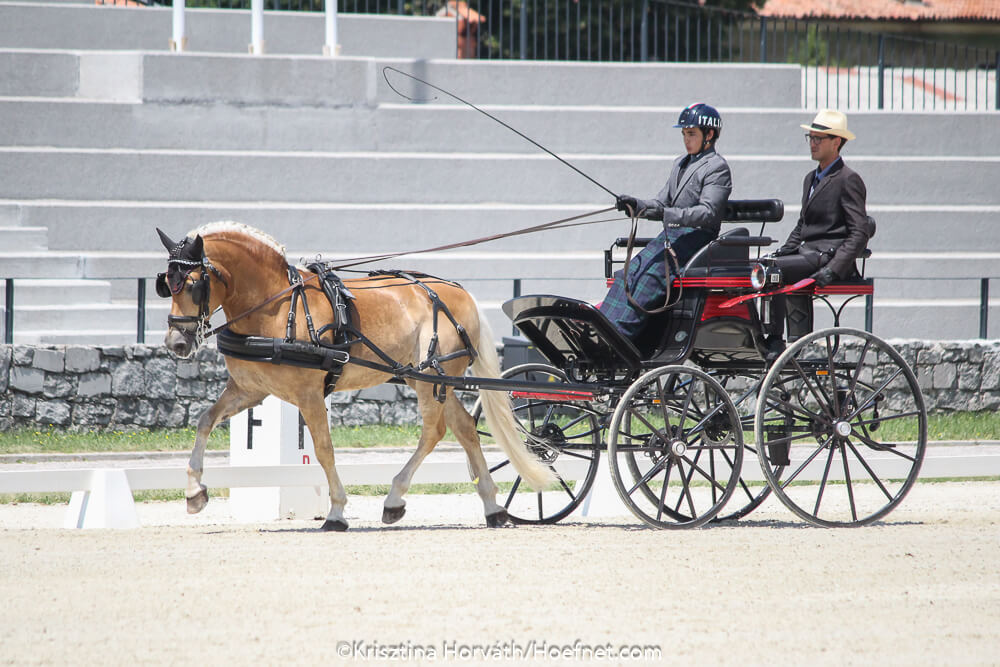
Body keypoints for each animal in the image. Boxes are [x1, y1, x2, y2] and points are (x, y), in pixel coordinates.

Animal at [154, 223, 556, 532]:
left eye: (194, 284)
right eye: (166, 284)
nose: (176, 343)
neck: (276, 306)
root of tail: (457, 293)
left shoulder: (309, 395)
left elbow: (324, 449)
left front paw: (336, 512)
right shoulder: (249, 391)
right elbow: (205, 421)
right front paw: (194, 492)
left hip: (428, 380)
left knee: (435, 430)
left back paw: (395, 498)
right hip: (426, 379)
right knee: (464, 428)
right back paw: (493, 508)